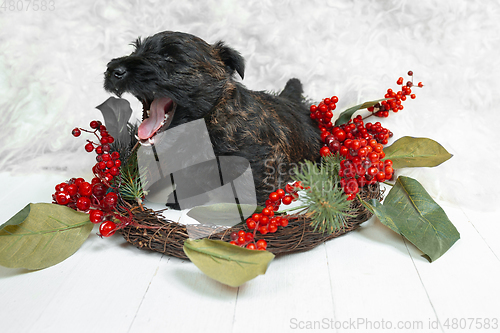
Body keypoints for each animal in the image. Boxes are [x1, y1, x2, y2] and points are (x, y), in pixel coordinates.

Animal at [104, 31, 320, 205]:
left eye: (169, 58)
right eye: (136, 51)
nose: (115, 71)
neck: (205, 122)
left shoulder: (263, 159)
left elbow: (253, 188)